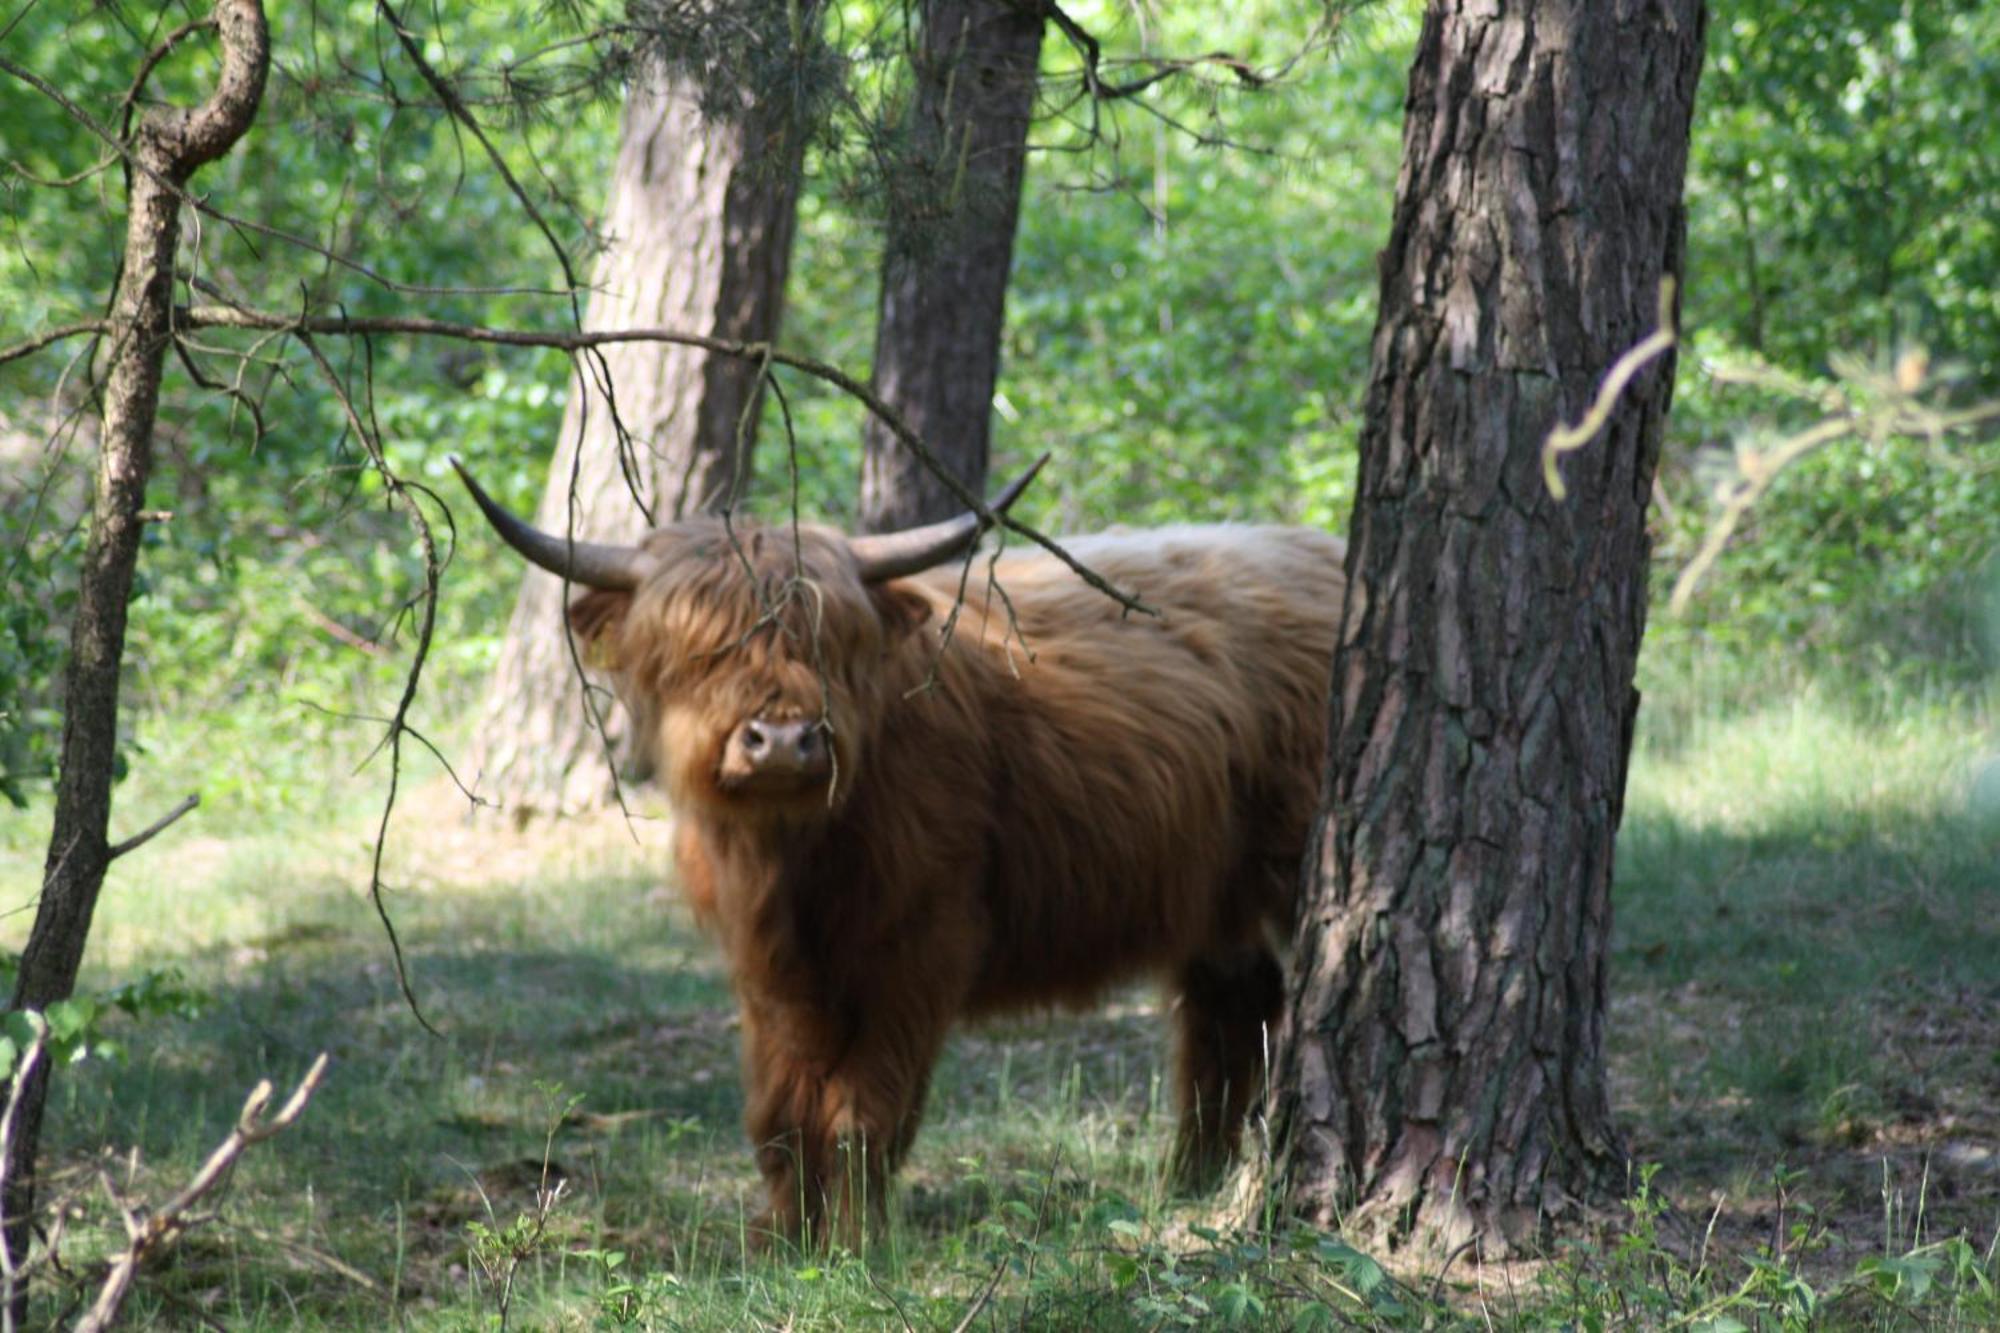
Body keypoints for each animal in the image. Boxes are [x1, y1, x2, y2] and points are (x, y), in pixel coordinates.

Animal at [454, 460, 1344, 1248]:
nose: (783, 741)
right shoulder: (768, 964)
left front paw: (856, 1245)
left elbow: (864, 1108)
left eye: (828, 640)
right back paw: (1190, 1184)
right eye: (700, 648)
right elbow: (780, 1109)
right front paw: (783, 1242)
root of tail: (1323, 553)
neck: (791, 858)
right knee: (1230, 1005)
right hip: (1209, 889)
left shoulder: (923, 940)